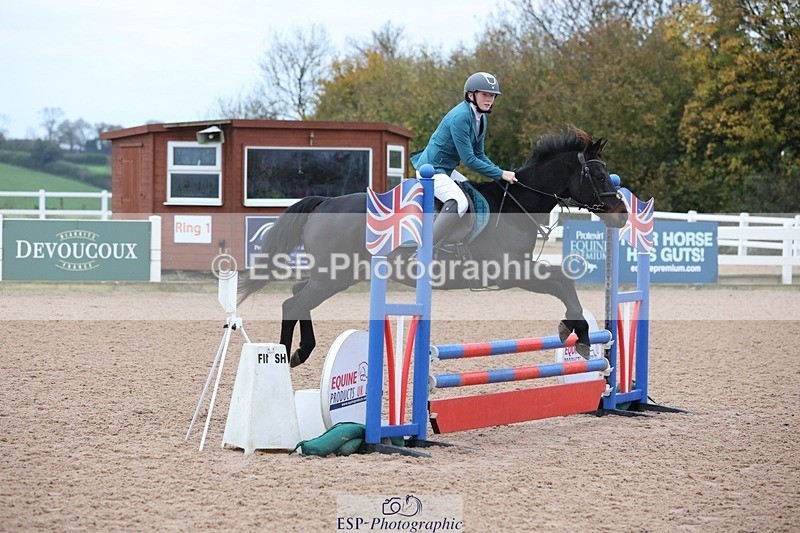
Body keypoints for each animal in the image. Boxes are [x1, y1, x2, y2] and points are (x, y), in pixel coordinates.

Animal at [239, 126, 628, 368]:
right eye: (596, 175)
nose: (621, 214)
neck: (517, 204)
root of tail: (326, 202)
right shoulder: (511, 271)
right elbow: (562, 279)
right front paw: (578, 333)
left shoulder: (518, 269)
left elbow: (562, 279)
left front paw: (572, 329)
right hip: (333, 277)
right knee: (293, 302)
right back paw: (284, 357)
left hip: (335, 275)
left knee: (296, 295)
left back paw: (301, 351)